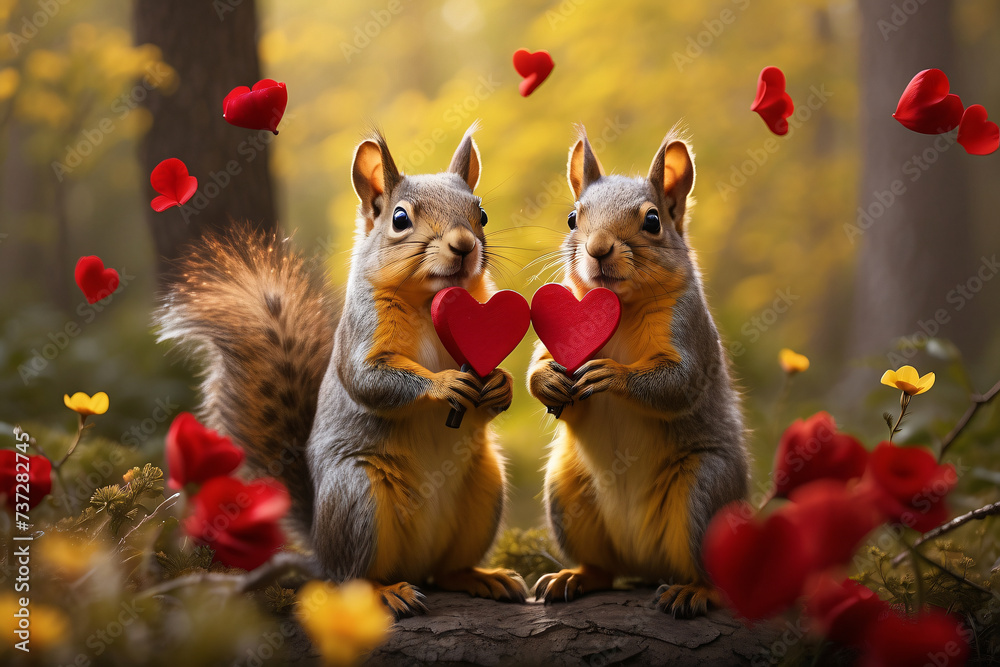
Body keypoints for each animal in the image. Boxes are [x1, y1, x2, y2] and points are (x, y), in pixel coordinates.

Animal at [157, 126, 527, 618]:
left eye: (481, 213)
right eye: (400, 219)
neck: (428, 300)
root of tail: (320, 548)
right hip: (357, 497)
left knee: (446, 571)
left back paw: (480, 576)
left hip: (484, 486)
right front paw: (445, 382)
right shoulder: (361, 336)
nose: (465, 246)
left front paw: (500, 384)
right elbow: (370, 381)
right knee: (348, 578)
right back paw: (385, 591)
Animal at [527, 127, 750, 618]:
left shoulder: (688, 329)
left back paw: (694, 591)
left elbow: (678, 383)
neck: (621, 307)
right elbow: (537, 365)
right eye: (572, 218)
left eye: (652, 221)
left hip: (704, 493)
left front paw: (613, 375)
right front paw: (548, 380)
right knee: (603, 569)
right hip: (566, 491)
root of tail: (645, 561)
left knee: (708, 569)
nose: (598, 249)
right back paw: (576, 576)